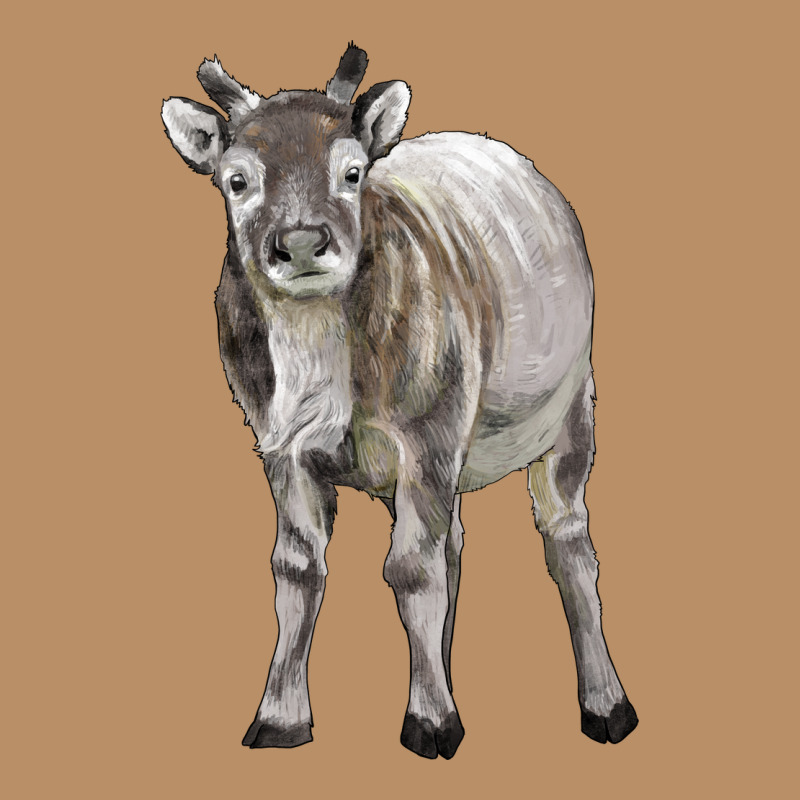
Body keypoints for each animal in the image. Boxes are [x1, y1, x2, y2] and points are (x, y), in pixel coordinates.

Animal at [161, 44, 638, 760]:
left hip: (572, 405)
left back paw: (605, 704)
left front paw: (430, 720)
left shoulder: (428, 434)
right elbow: (297, 568)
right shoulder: (280, 448)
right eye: (236, 179)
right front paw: (280, 718)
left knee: (568, 540)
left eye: (352, 171)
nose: (300, 242)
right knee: (454, 546)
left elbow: (410, 569)